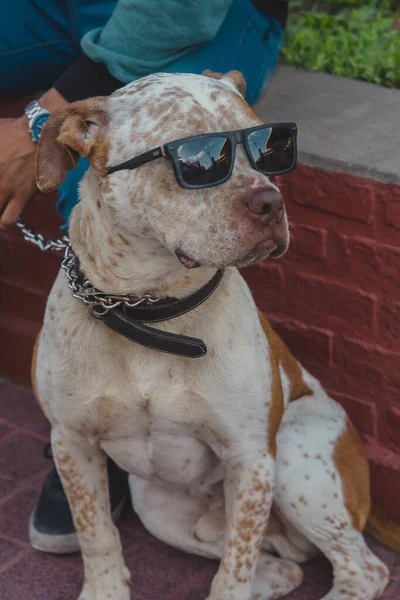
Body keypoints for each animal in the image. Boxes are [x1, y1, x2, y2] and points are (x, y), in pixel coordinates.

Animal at [32, 71, 390, 600]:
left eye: (271, 147)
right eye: (198, 161)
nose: (271, 201)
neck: (152, 312)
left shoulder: (251, 459)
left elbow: (234, 570)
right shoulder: (71, 443)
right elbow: (96, 535)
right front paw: (104, 589)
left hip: (296, 457)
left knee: (362, 569)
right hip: (159, 508)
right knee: (284, 568)